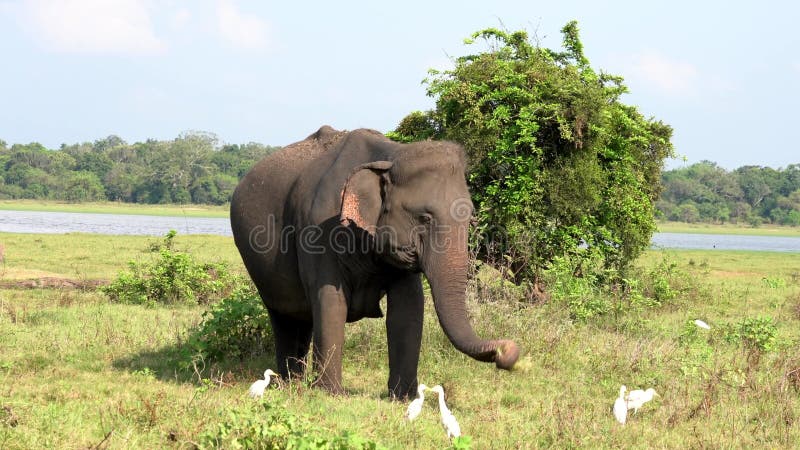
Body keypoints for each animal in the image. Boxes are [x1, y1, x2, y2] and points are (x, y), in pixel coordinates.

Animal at [228, 125, 520, 398]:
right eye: (424, 218)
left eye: (471, 217)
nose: (506, 350)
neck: (389, 156)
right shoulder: (316, 231)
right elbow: (330, 300)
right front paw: (330, 394)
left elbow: (408, 308)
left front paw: (403, 398)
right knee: (284, 317)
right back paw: (290, 384)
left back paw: (293, 383)